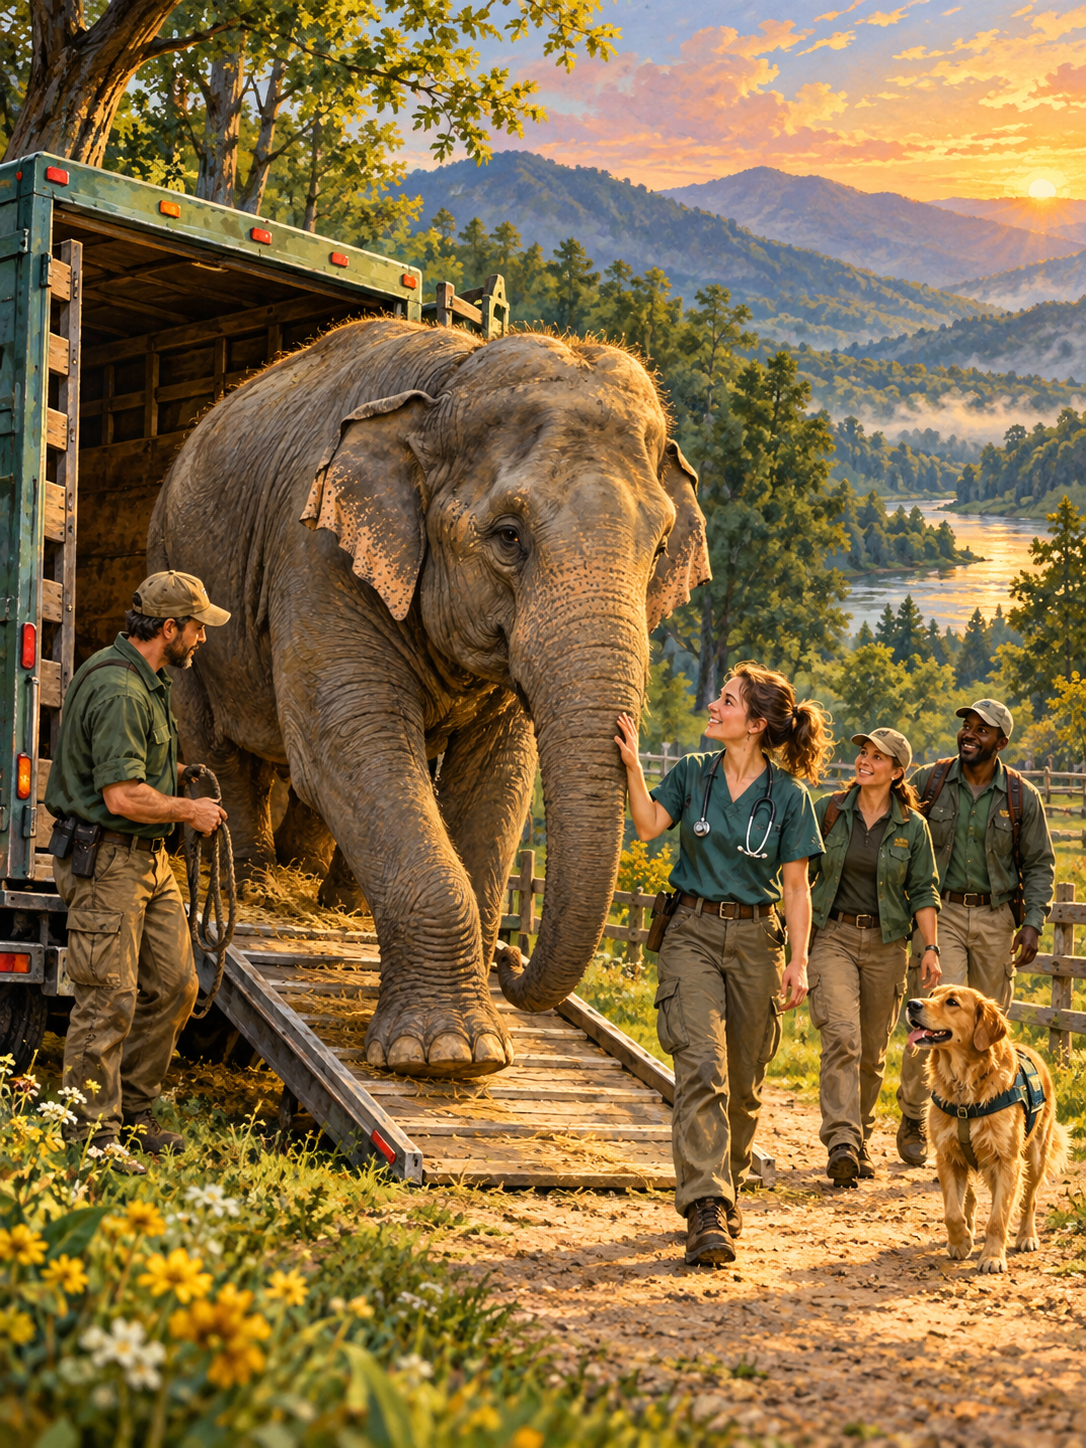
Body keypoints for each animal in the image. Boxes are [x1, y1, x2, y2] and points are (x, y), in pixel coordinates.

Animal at [148, 317, 710, 1078]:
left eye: (657, 550)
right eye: (509, 536)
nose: (510, 957)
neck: (450, 382)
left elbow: (499, 776)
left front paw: (470, 1042)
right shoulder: (316, 553)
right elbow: (349, 735)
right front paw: (445, 1056)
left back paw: (330, 897)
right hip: (174, 564)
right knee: (219, 739)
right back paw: (261, 885)